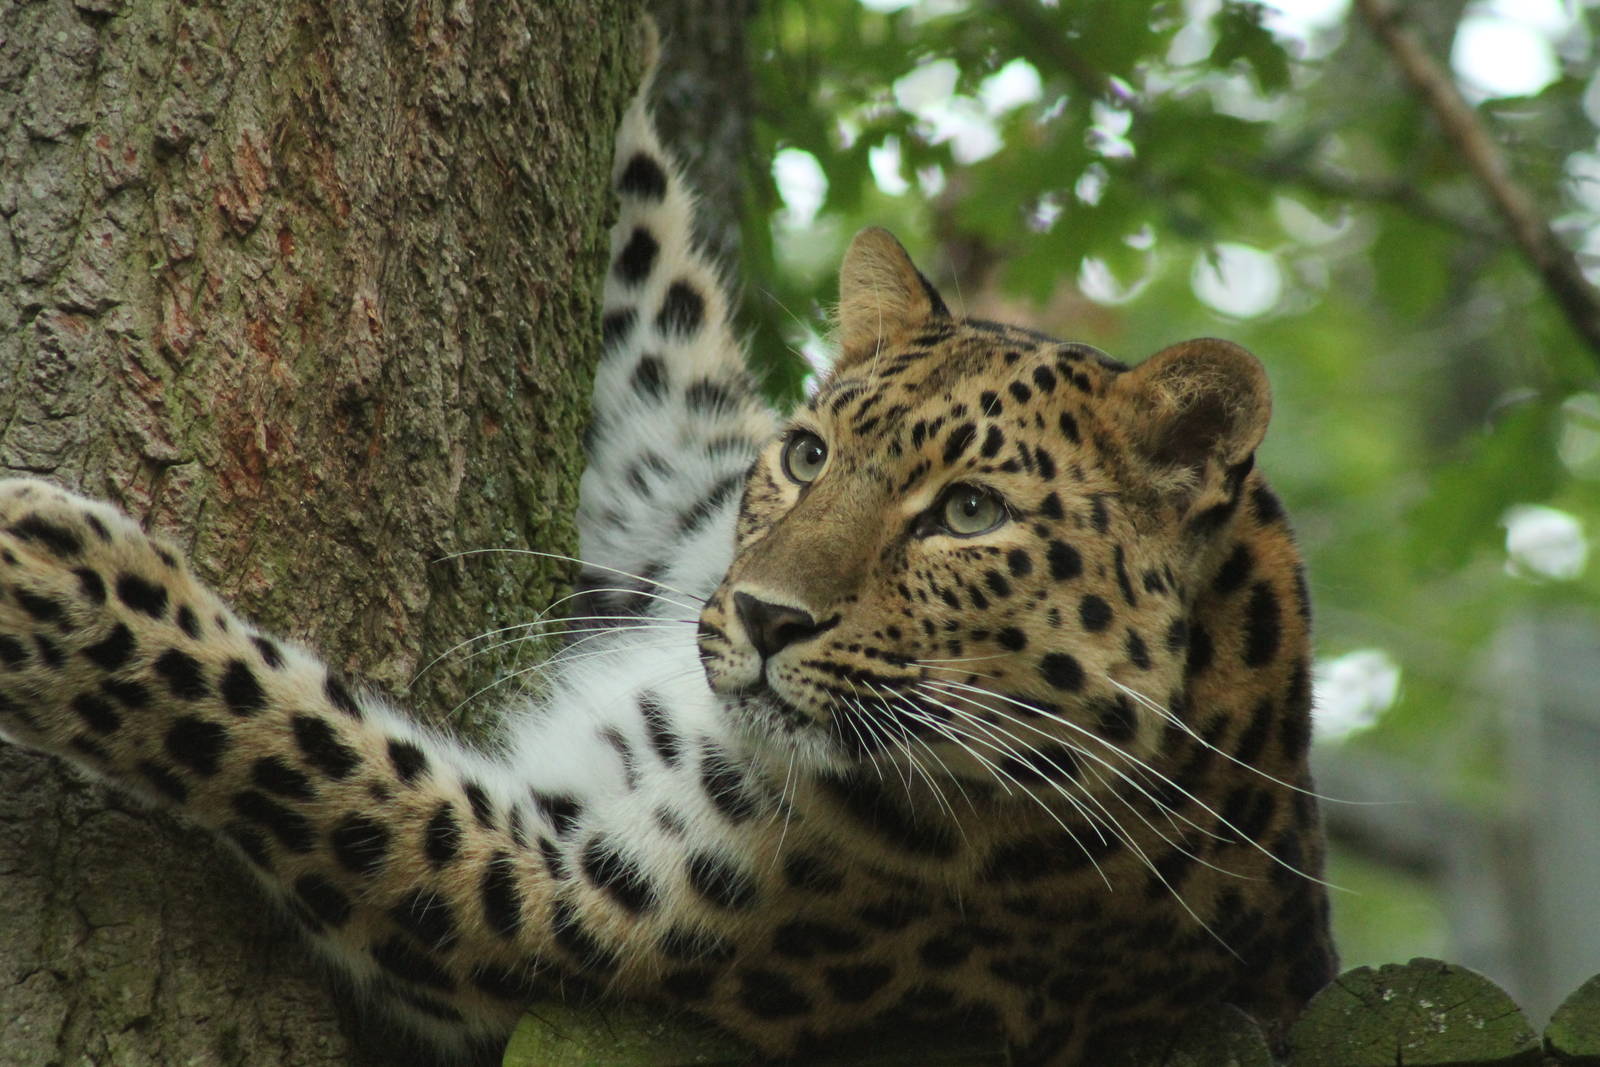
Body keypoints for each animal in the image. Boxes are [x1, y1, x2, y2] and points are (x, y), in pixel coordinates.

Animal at [0, 30, 1335, 1067]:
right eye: (806, 455)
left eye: (968, 513)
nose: (763, 617)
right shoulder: (666, 496)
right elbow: (652, 291)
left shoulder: (554, 900)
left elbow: (300, 750)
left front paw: (49, 579)